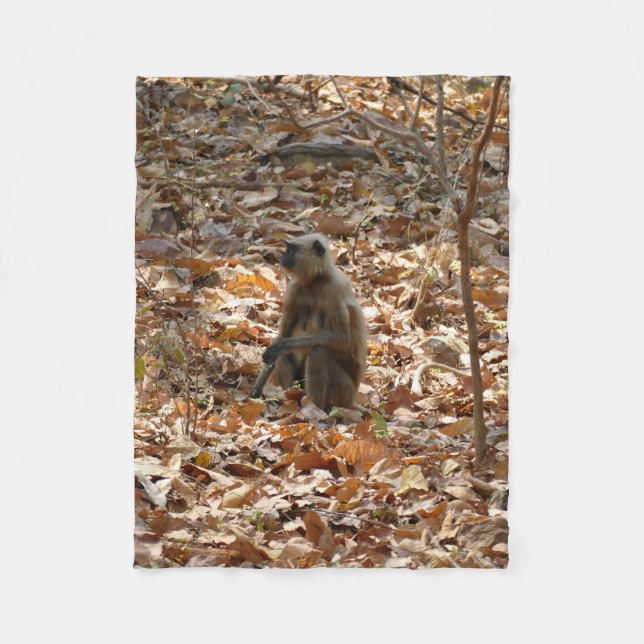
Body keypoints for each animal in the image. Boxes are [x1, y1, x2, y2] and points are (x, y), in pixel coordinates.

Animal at [255, 233, 367, 411]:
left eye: (292, 249)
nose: (283, 255)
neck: (315, 281)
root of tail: (351, 401)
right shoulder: (293, 289)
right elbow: (281, 336)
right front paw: (256, 391)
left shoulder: (335, 288)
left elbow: (342, 337)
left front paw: (283, 345)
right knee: (284, 356)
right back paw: (291, 399)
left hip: (343, 393)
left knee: (318, 353)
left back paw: (313, 408)